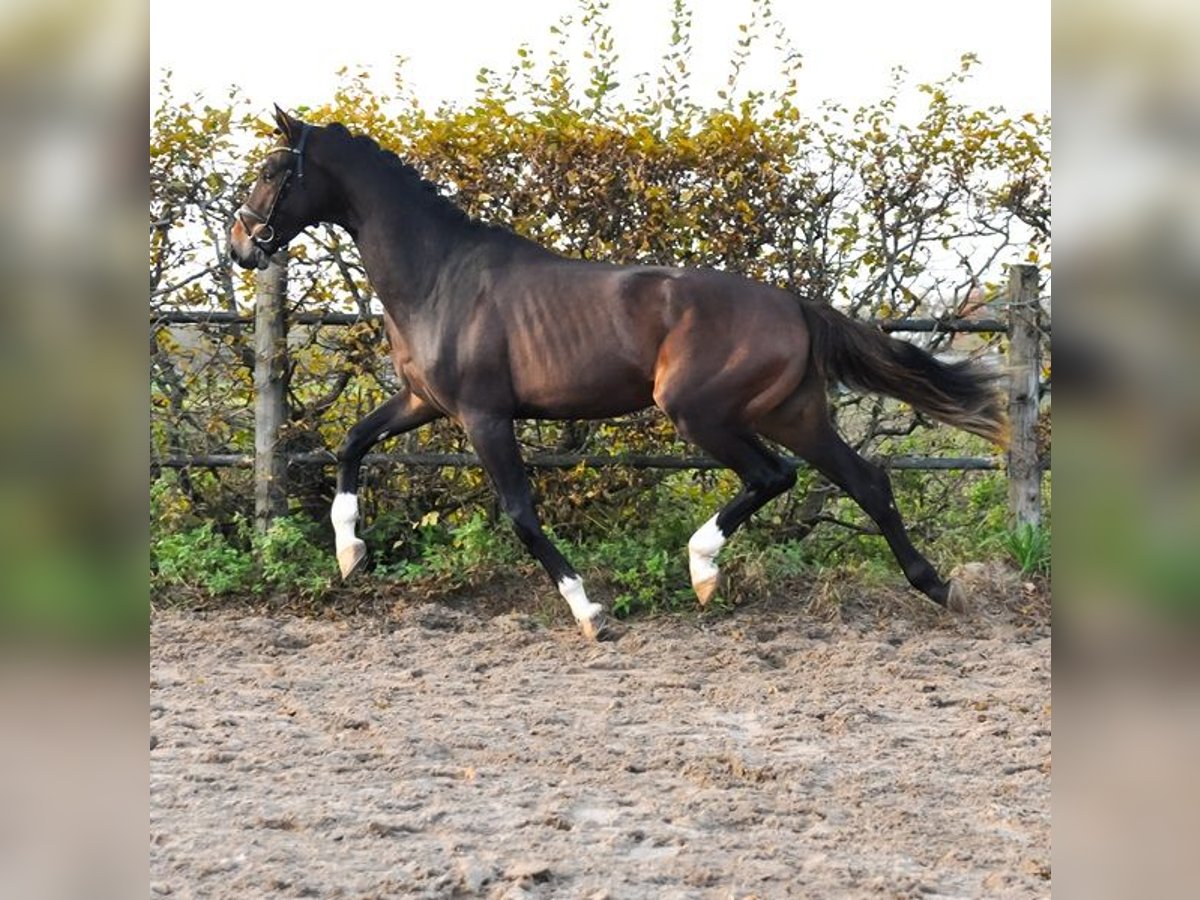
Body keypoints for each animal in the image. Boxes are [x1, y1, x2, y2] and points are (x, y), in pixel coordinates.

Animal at [229, 105, 1008, 643]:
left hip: (700, 410)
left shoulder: (484, 416)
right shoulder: (424, 401)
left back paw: (702, 568)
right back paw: (937, 588)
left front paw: (589, 610)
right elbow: (352, 444)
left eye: (271, 172)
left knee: (773, 476)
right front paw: (349, 553)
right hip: (793, 411)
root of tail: (793, 302)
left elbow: (520, 512)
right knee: (866, 482)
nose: (239, 244)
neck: (439, 276)